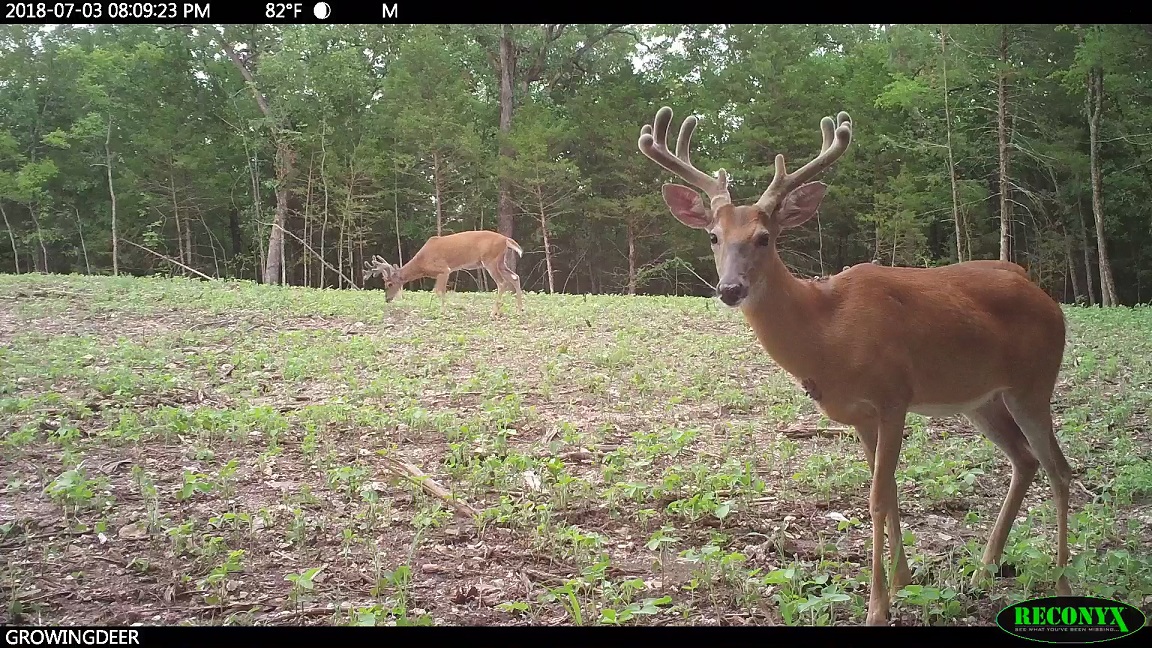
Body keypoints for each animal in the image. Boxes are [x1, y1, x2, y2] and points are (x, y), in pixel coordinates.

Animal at [361, 229, 525, 315]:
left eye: (389, 284)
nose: (387, 299)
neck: (422, 263)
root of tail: (505, 239)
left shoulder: (444, 269)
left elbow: (440, 291)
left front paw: (444, 311)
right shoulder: (439, 274)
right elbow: (435, 290)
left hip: (490, 260)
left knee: (502, 283)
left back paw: (493, 312)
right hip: (500, 262)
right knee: (515, 277)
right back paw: (519, 309)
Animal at [640, 106, 1069, 627]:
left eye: (764, 238)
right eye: (713, 236)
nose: (730, 289)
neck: (828, 332)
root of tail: (1045, 295)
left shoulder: (893, 396)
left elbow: (876, 497)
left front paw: (878, 607)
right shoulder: (860, 415)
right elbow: (890, 491)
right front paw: (904, 581)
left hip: (1035, 381)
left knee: (1060, 468)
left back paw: (1064, 581)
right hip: (981, 399)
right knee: (1026, 460)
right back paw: (984, 567)